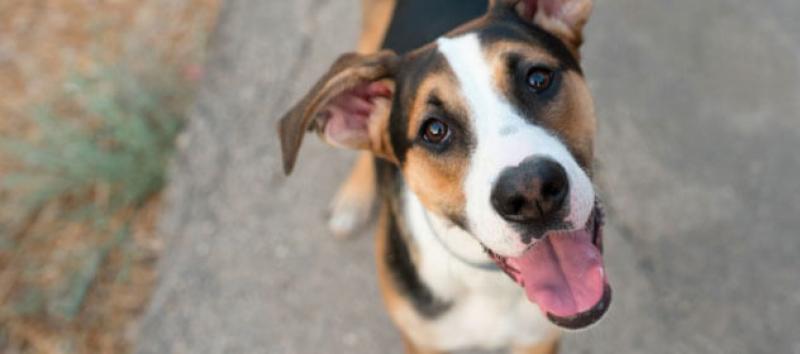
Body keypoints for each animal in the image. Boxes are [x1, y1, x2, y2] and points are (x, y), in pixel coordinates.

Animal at [276, 1, 608, 352]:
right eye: (434, 131)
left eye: (538, 78)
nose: (531, 193)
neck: (486, 280)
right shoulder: (423, 339)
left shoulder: (539, 339)